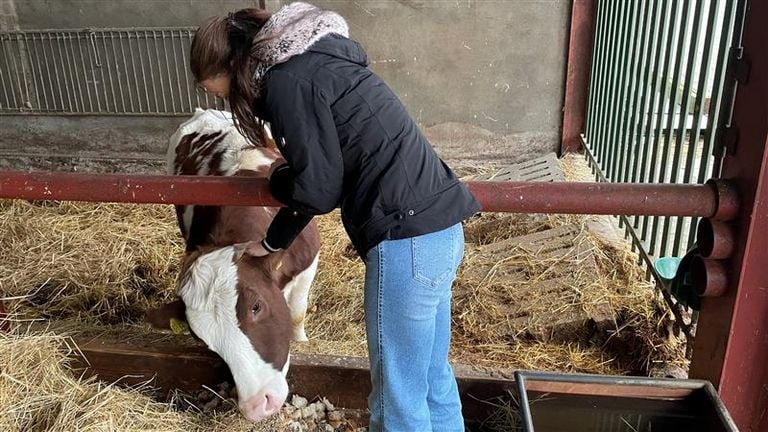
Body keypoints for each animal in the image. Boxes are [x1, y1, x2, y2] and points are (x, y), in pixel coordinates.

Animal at [152, 108, 320, 422]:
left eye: (256, 306)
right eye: (202, 340)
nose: (257, 404)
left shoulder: (308, 263)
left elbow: (297, 313)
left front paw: (302, 341)